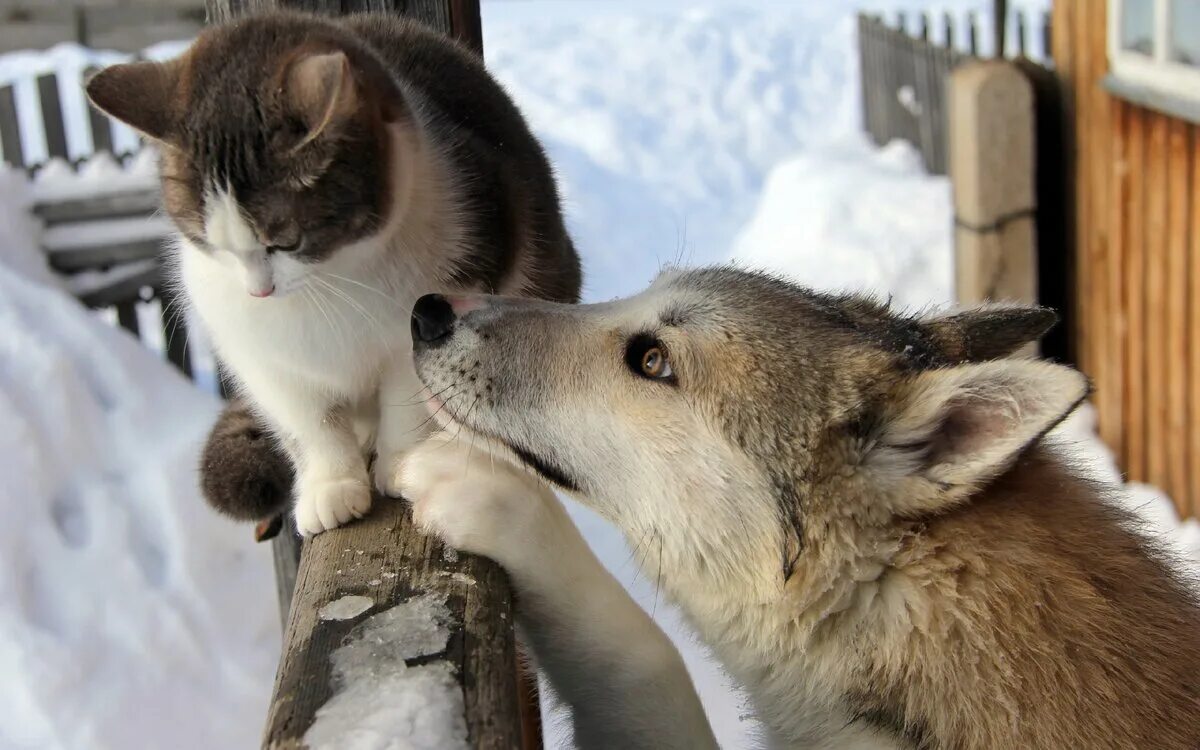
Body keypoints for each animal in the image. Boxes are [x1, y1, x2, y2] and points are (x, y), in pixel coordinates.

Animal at [88, 13, 580, 537]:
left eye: (285, 241)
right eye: (210, 242)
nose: (259, 291)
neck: (329, 282)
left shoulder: (444, 296)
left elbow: (407, 396)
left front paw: (401, 464)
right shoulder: (259, 358)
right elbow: (310, 424)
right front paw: (330, 487)